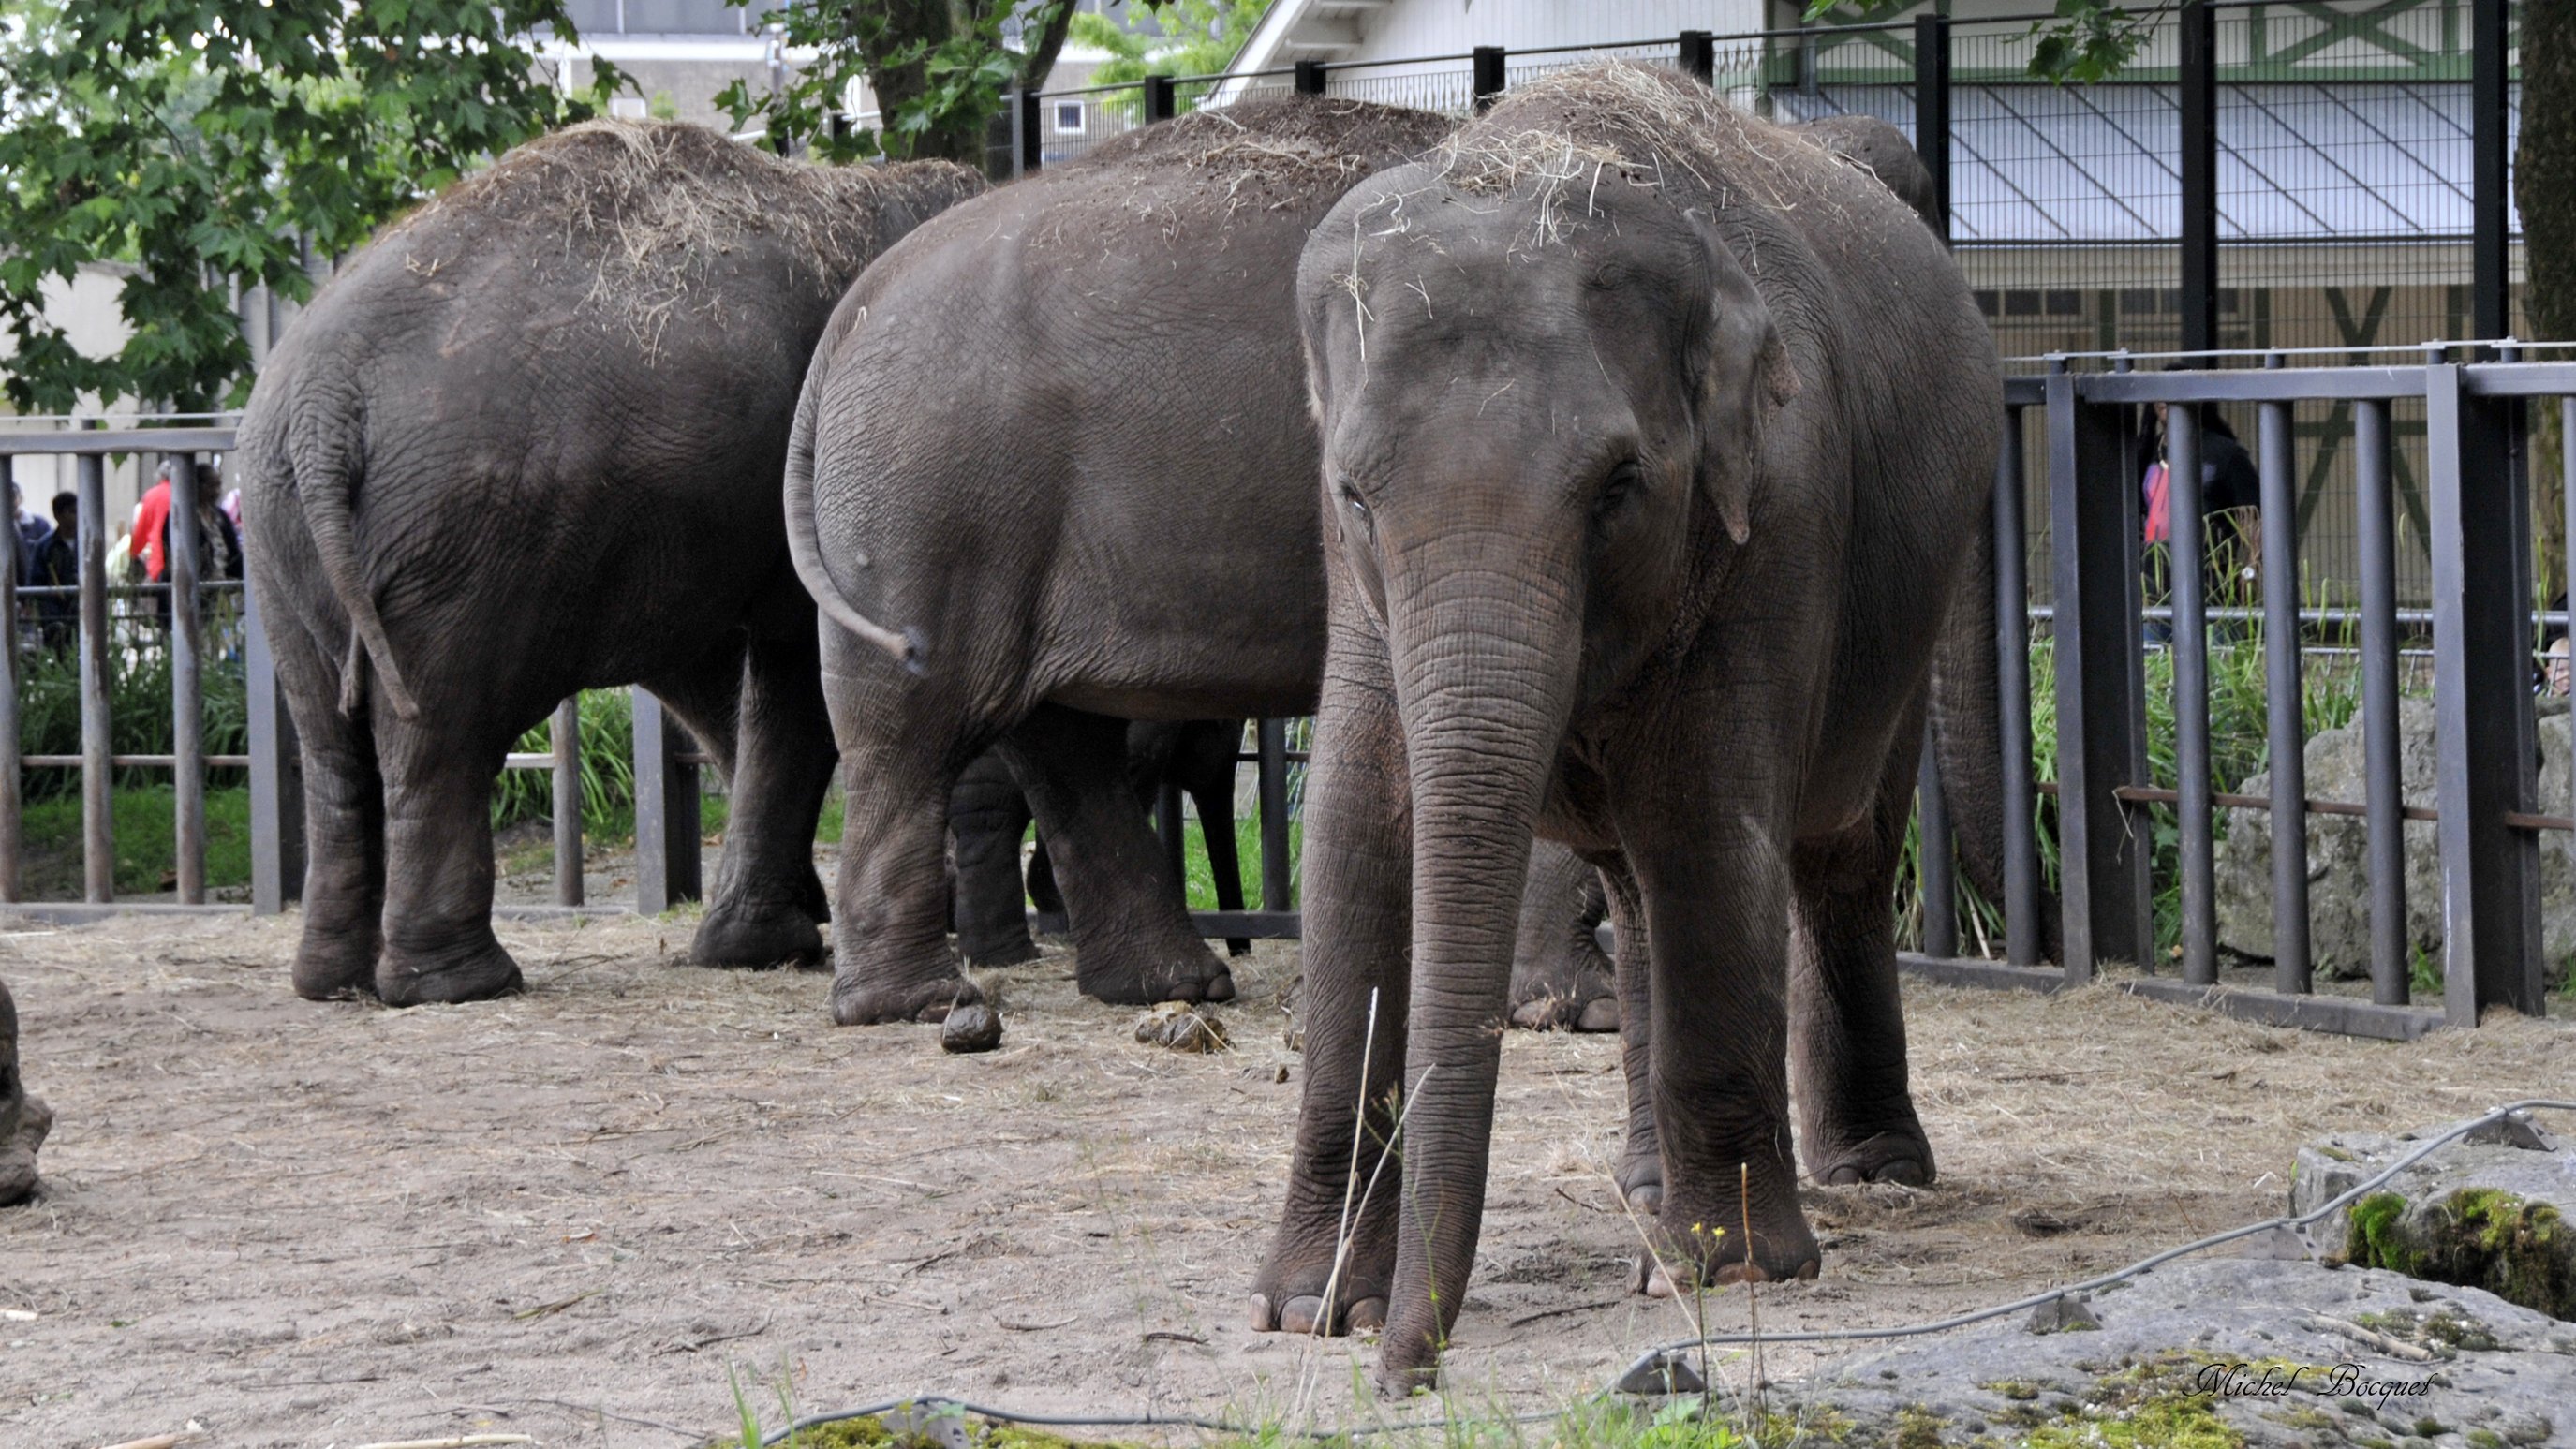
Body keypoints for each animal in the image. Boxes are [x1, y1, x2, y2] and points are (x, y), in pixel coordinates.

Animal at [237, 121, 979, 1009]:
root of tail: (324, 401)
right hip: (451, 543)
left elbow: (725, 677)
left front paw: (771, 931)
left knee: (332, 745)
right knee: (436, 738)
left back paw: (333, 982)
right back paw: (463, 983)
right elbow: (792, 675)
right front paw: (783, 937)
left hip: (280, 534)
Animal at [1247, 65, 2009, 1379]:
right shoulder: (1353, 579)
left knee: (1832, 852)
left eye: (1616, 487)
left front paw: (1731, 1269)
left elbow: (1708, 822)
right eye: (1353, 491)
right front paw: (1312, 1305)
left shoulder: (1779, 506)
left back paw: (1862, 1173)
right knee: (1638, 881)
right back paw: (1645, 1188)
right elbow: (1353, 832)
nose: (1409, 1371)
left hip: (1908, 595)